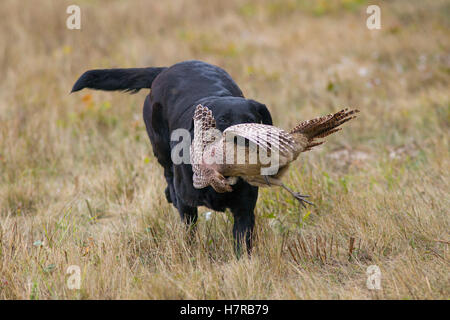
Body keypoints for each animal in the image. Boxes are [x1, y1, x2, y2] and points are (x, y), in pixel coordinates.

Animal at [72, 60, 272, 255]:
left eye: (251, 119)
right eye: (223, 120)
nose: (244, 140)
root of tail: (167, 69)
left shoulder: (244, 209)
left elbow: (242, 243)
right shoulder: (187, 205)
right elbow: (189, 233)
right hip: (160, 146)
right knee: (168, 175)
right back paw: (171, 194)